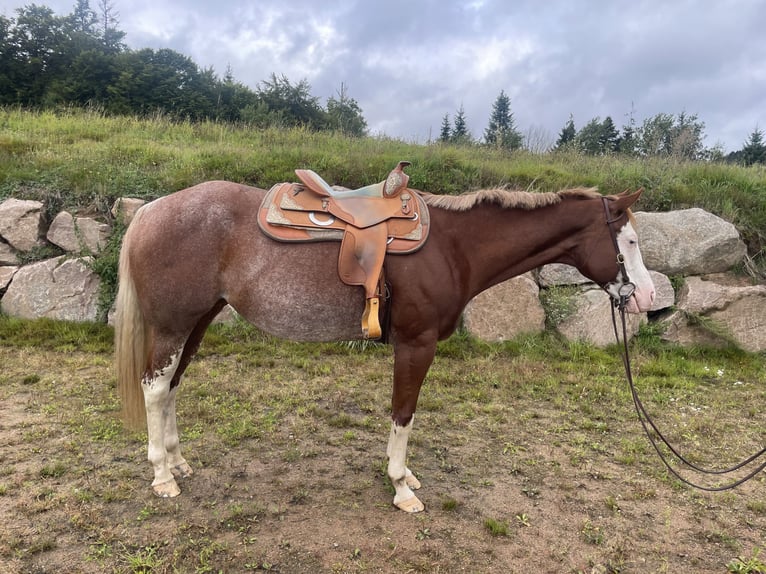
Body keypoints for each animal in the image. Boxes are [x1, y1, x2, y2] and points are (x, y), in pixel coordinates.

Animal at [115, 174, 655, 513]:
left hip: (197, 322)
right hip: (172, 325)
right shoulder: (416, 345)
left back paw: (178, 462)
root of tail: (151, 210)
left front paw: (405, 478)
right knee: (155, 389)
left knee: (172, 387)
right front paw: (401, 486)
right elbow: (403, 412)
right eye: (628, 242)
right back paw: (162, 475)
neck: (453, 246)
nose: (647, 297)